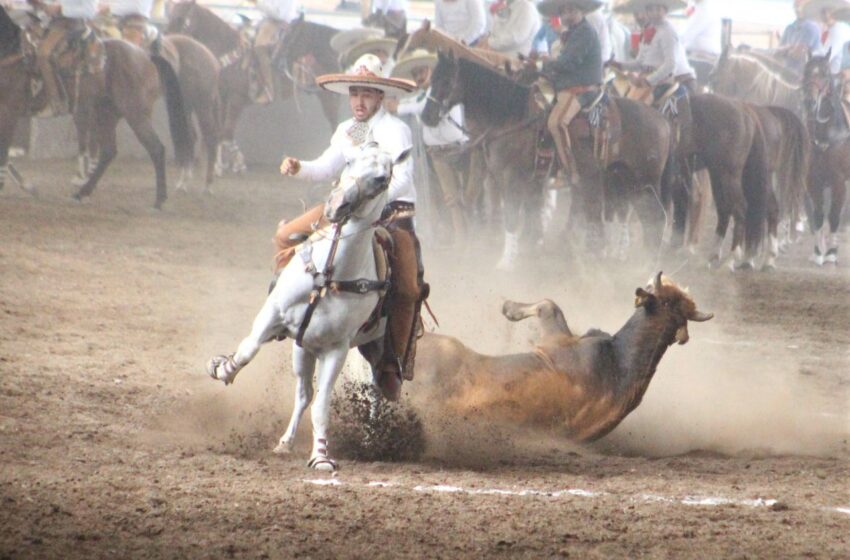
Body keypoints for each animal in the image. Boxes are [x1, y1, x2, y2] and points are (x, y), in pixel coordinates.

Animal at [207, 142, 410, 470]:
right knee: (303, 394)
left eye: (382, 178)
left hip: (371, 348)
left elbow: (322, 404)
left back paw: (369, 439)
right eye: (349, 161)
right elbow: (248, 350)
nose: (336, 206)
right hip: (302, 346)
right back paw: (285, 443)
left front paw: (322, 455)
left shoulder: (336, 348)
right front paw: (223, 368)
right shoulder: (273, 314)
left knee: (372, 390)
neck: (330, 273)